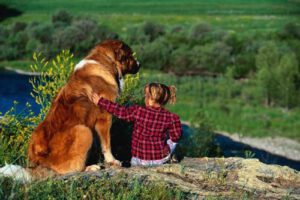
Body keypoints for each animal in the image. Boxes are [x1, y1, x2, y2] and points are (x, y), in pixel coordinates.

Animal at [0, 38, 140, 180]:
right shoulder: (104, 118)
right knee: (73, 168)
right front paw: (112, 161)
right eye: (130, 55)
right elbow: (106, 144)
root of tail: (39, 164)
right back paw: (90, 167)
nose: (139, 64)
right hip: (84, 130)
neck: (105, 61)